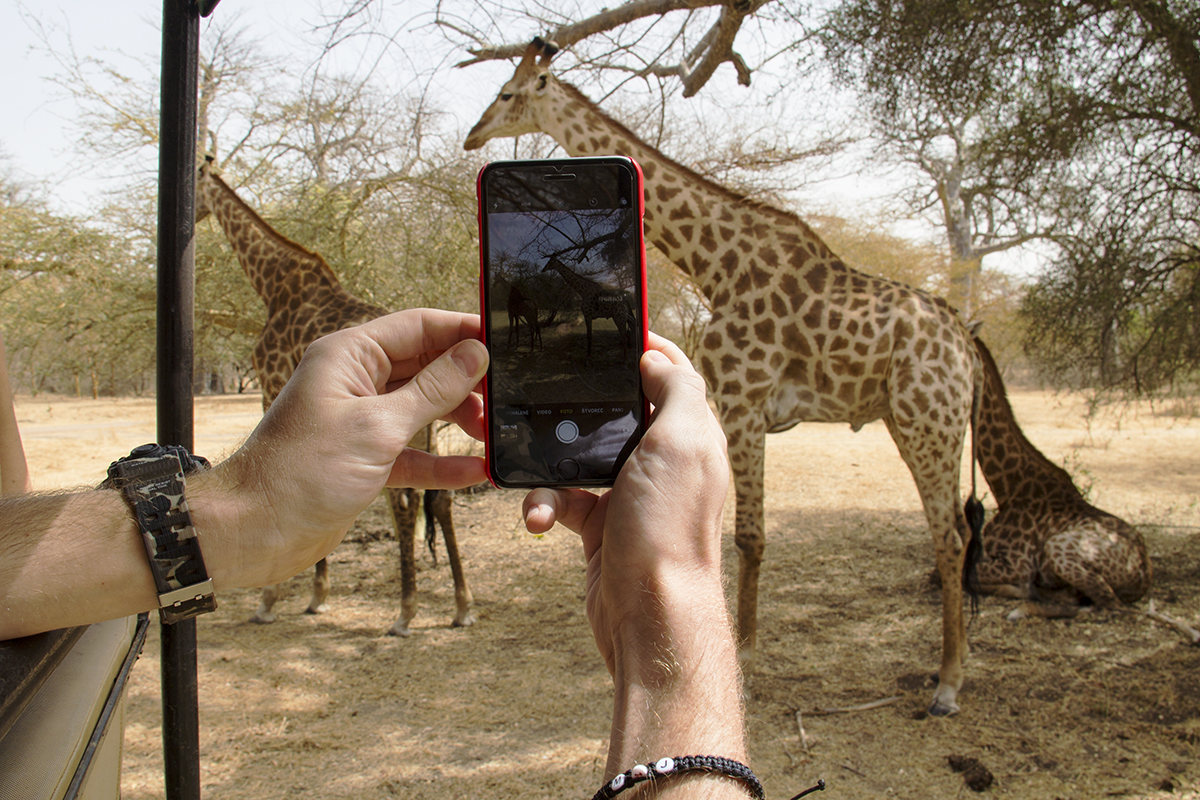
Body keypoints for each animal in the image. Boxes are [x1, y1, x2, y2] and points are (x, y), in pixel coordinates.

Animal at [193, 159, 472, 638]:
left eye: (194, 182)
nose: (189, 213)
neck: (271, 284)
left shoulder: (270, 382)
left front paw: (273, 600)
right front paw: (316, 595)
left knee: (404, 505)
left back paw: (406, 612)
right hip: (424, 432)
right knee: (437, 499)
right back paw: (460, 605)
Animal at [465, 37, 984, 714]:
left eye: (508, 94)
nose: (473, 135)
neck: (715, 263)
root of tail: (966, 344)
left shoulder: (745, 399)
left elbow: (749, 538)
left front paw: (751, 657)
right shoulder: (738, 404)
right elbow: (745, 537)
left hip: (930, 422)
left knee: (950, 537)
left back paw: (948, 683)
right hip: (917, 423)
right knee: (958, 533)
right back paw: (955, 666)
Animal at [969, 335, 1147, 618]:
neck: (1008, 487)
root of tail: (1143, 574)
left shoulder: (1017, 563)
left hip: (1059, 548)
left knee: (1107, 606)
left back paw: (1025, 606)